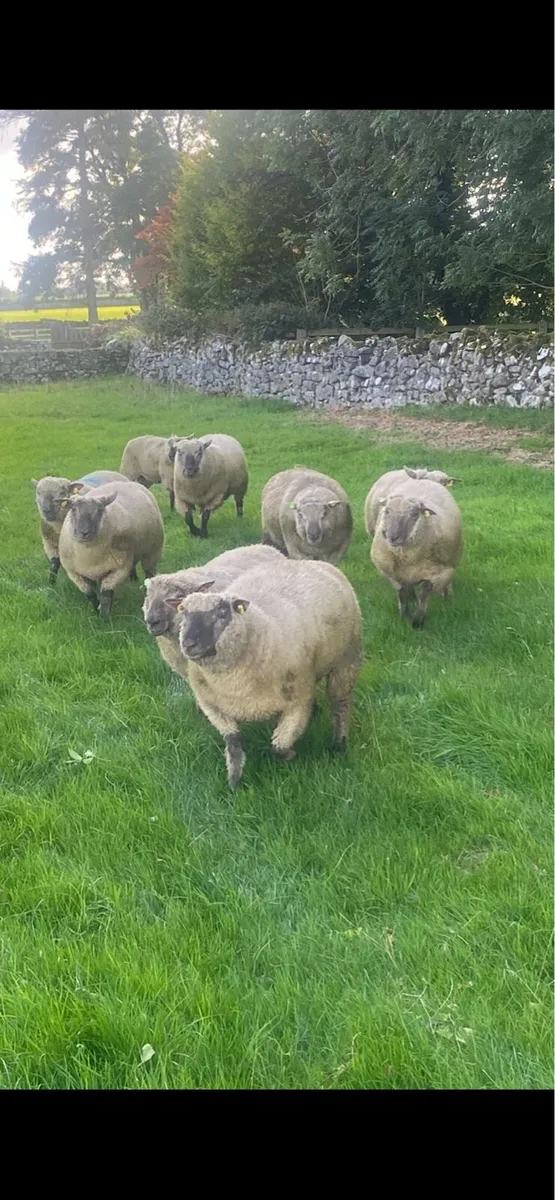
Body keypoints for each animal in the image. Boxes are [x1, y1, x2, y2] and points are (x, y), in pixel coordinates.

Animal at [58, 481, 164, 619]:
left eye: (99, 510)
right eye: (73, 509)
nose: (84, 532)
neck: (89, 556)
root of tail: (128, 482)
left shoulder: (119, 569)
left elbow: (105, 595)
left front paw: (104, 618)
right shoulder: (74, 573)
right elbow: (91, 594)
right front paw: (96, 610)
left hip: (153, 551)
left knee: (149, 573)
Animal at [168, 556, 362, 788]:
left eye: (222, 613)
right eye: (182, 612)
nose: (189, 644)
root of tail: (303, 560)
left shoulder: (296, 702)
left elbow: (279, 746)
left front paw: (289, 755)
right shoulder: (214, 708)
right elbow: (233, 744)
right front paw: (234, 782)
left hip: (347, 657)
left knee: (340, 703)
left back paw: (339, 744)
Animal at [370, 477, 463, 629]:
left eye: (414, 513)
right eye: (387, 511)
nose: (392, 537)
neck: (408, 557)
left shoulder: (437, 572)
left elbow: (424, 592)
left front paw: (418, 620)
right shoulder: (393, 574)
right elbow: (403, 593)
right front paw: (405, 616)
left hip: (451, 562)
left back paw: (448, 598)